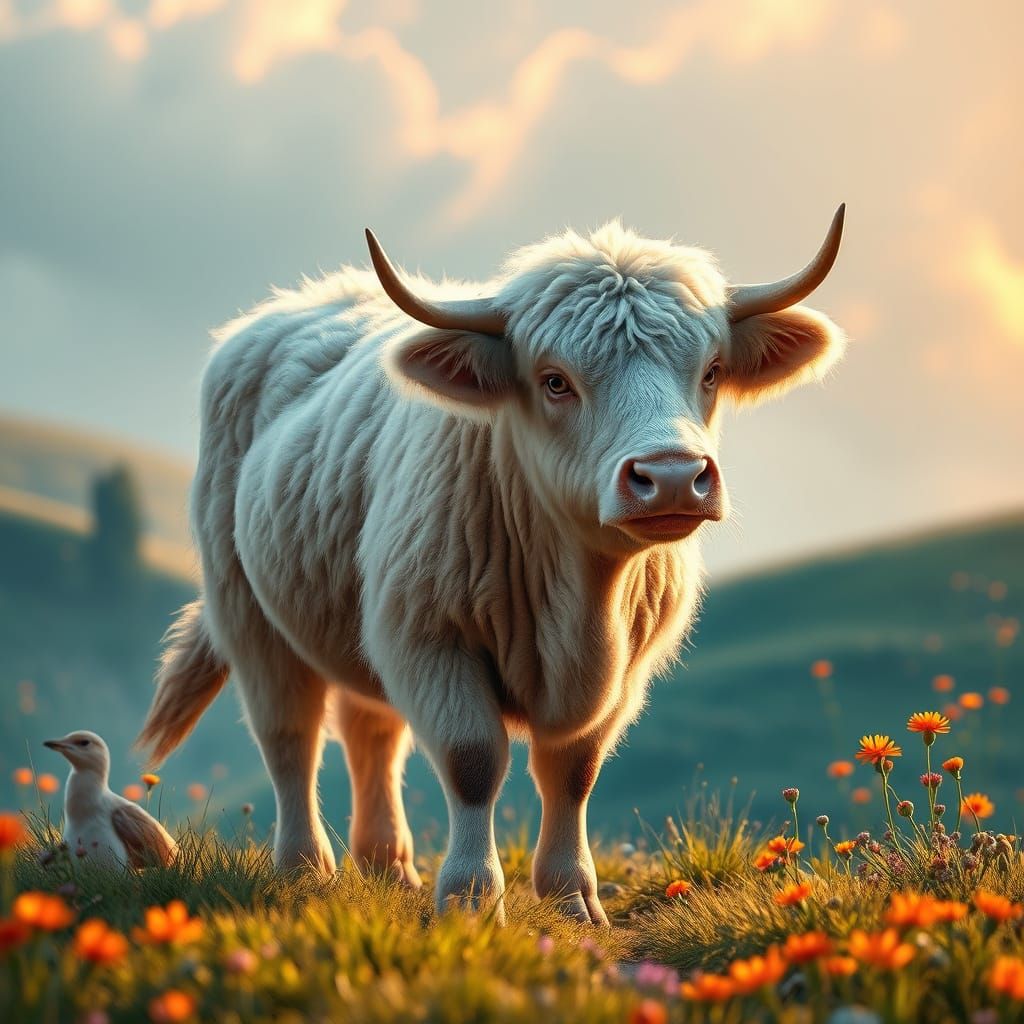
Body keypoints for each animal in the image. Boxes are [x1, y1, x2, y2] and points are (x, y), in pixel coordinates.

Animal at [138, 207, 846, 924]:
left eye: (711, 371)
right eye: (555, 380)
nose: (672, 477)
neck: (581, 597)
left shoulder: (624, 670)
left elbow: (574, 771)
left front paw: (571, 897)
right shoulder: (431, 637)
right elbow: (473, 761)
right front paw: (471, 898)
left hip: (361, 626)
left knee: (371, 734)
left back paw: (389, 867)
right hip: (248, 610)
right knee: (291, 737)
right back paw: (306, 868)